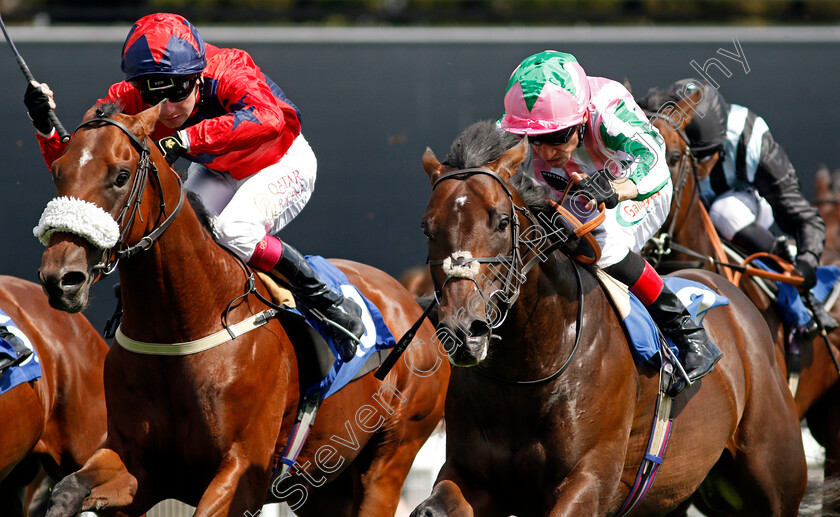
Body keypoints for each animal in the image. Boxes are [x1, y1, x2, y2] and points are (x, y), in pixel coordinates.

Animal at [38, 102, 450, 516]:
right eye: (57, 171)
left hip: (390, 455)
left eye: (121, 176)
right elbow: (67, 490)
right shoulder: (137, 465)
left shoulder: (243, 471)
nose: (61, 278)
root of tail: (410, 302)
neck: (185, 322)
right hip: (323, 479)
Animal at [414, 120, 808, 516]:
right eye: (427, 228)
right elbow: (430, 508)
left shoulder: (590, 479)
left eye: (502, 221)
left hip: (773, 475)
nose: (464, 331)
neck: (527, 368)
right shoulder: (469, 475)